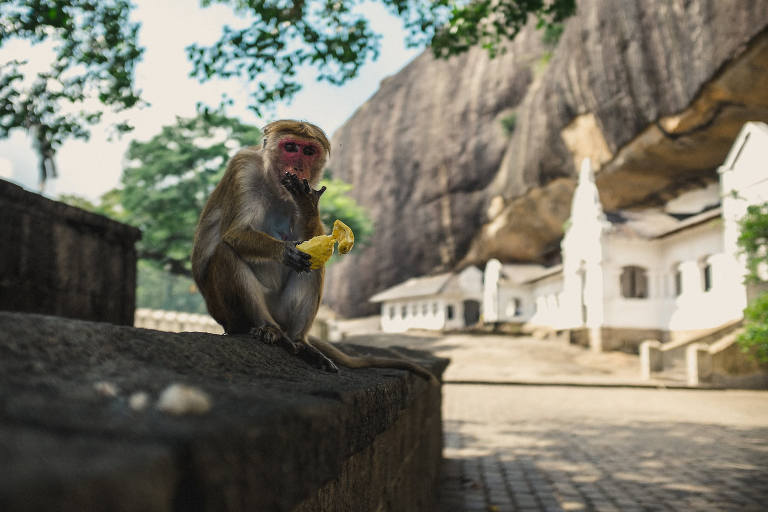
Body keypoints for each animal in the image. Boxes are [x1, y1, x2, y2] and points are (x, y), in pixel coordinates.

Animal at [190, 121, 438, 384]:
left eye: (308, 151)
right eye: (290, 147)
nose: (299, 167)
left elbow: (313, 243)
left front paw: (307, 205)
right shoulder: (243, 167)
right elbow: (234, 233)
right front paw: (285, 251)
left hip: (283, 312)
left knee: (314, 265)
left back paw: (301, 343)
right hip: (229, 314)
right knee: (225, 252)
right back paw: (269, 329)